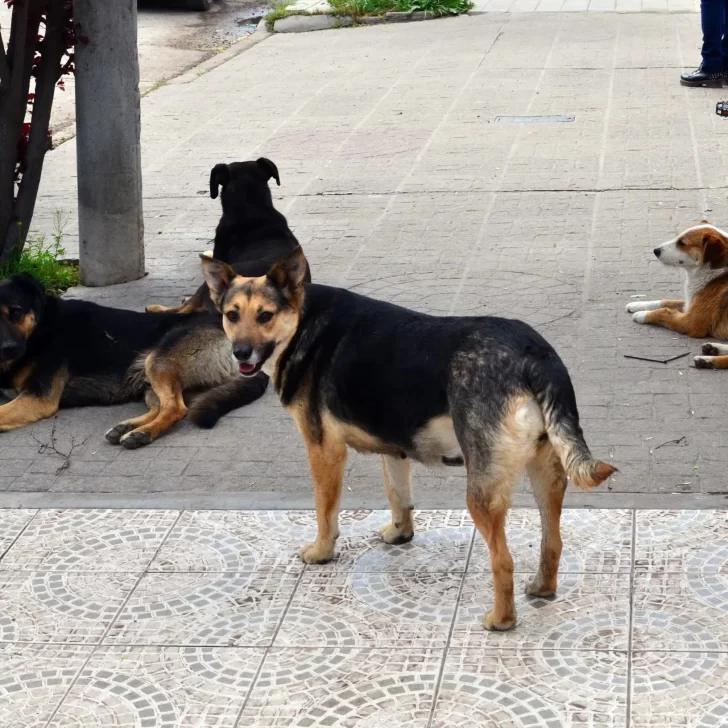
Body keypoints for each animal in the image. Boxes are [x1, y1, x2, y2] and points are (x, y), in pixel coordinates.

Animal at [0, 272, 264, 444]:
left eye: (16, 312)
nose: (8, 349)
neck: (41, 327)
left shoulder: (38, 397)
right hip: (151, 380)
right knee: (166, 405)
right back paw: (127, 428)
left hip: (157, 362)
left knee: (176, 408)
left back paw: (142, 434)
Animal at [199, 247, 616, 628]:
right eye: (231, 315)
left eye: (265, 316)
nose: (240, 353)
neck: (302, 322)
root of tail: (534, 354)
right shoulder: (395, 449)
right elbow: (397, 495)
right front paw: (400, 534)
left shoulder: (324, 451)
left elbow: (325, 511)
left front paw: (321, 551)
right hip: (547, 475)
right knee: (553, 540)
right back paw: (543, 589)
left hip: (482, 493)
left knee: (504, 560)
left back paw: (501, 620)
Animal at [624, 222, 728, 370]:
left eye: (682, 243)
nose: (655, 250)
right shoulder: (689, 303)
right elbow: (666, 302)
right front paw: (638, 305)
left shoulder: (691, 322)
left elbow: (664, 312)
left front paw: (643, 315)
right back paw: (713, 349)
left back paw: (707, 360)